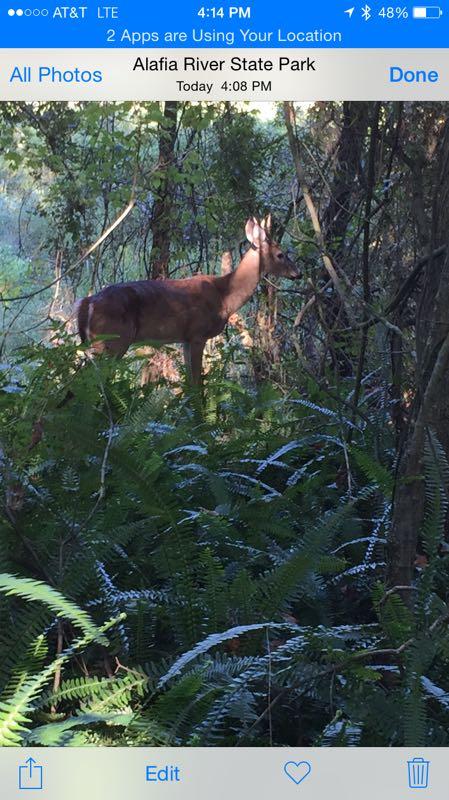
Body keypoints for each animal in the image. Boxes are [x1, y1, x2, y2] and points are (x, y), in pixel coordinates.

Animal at [77, 216, 300, 386]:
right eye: (280, 254)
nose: (298, 273)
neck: (224, 296)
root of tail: (87, 303)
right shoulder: (197, 334)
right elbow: (197, 385)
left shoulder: (184, 339)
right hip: (110, 341)